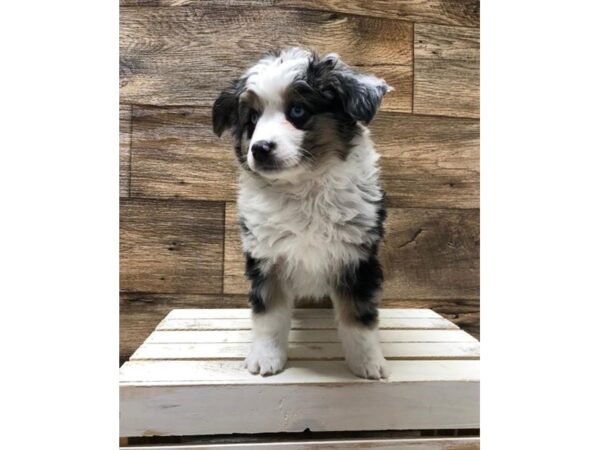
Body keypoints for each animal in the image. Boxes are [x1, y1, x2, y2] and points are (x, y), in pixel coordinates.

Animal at [213, 47, 392, 378]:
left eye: (297, 111)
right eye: (252, 118)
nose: (259, 148)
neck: (304, 189)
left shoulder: (357, 257)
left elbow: (358, 318)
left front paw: (368, 362)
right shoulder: (266, 258)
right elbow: (270, 315)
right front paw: (266, 357)